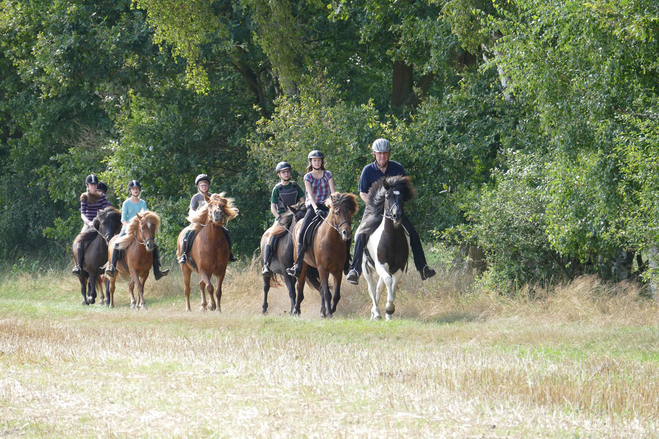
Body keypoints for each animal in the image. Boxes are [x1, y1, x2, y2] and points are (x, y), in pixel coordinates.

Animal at [358, 174, 416, 320]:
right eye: (387, 196)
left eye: (402, 197)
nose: (397, 215)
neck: (392, 239)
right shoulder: (381, 265)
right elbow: (388, 281)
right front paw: (387, 309)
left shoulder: (399, 267)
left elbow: (393, 286)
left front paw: (389, 311)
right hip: (366, 268)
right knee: (372, 289)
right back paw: (376, 312)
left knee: (379, 287)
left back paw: (377, 313)